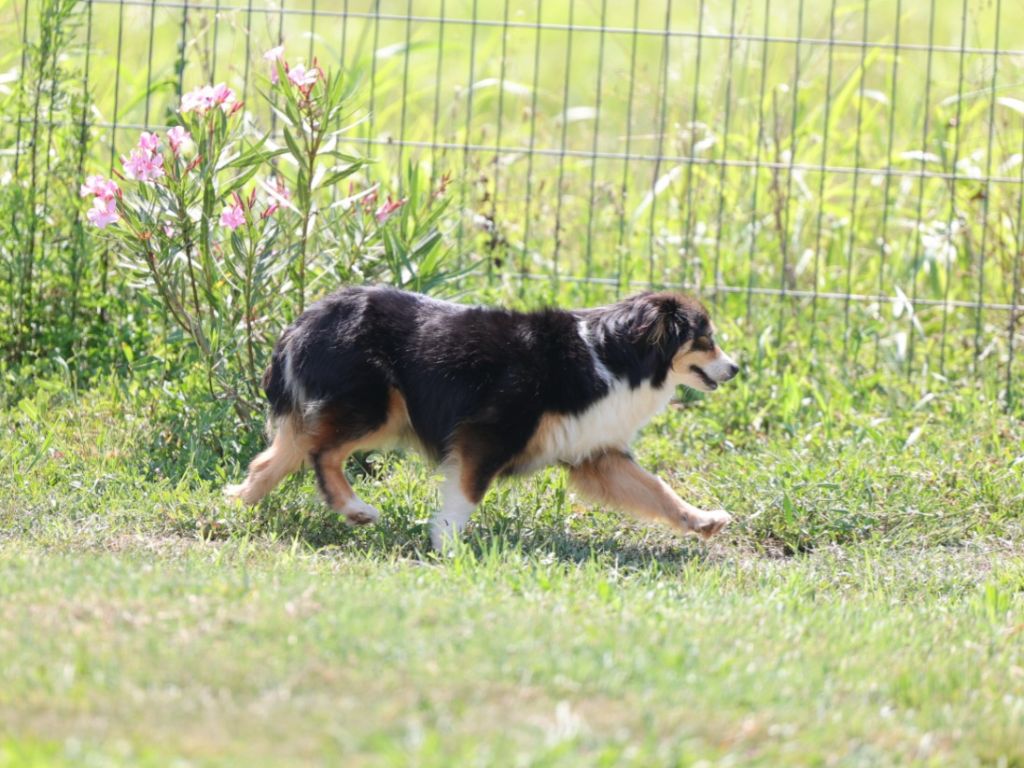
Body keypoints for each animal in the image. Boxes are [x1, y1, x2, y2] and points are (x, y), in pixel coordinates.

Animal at [226, 286, 737, 548]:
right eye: (706, 339)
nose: (735, 369)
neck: (613, 356)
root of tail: (303, 320)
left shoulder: (596, 453)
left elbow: (656, 489)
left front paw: (703, 520)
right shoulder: (488, 432)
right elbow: (467, 493)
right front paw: (448, 545)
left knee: (273, 460)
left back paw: (239, 507)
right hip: (378, 405)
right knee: (322, 452)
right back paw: (355, 509)